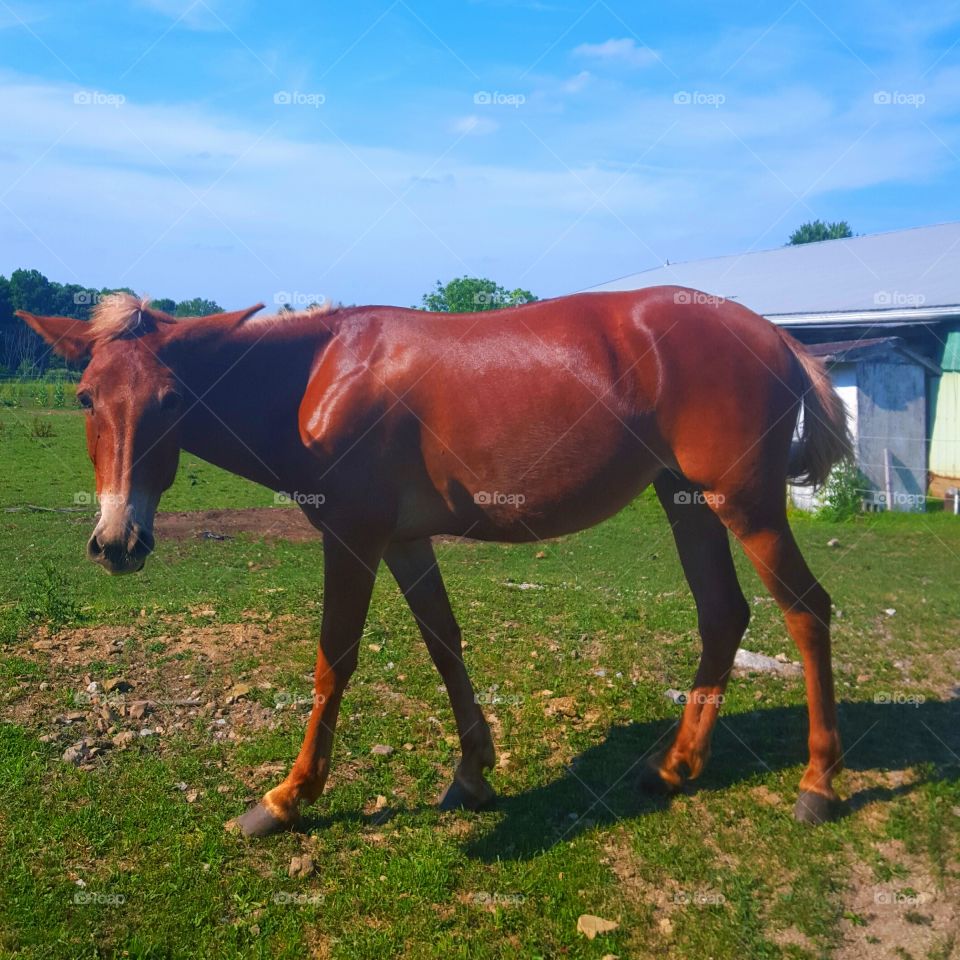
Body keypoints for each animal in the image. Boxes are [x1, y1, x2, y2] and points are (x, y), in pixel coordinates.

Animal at [18, 284, 848, 832]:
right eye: (87, 397)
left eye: (170, 402)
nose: (118, 541)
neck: (319, 378)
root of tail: (774, 335)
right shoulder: (405, 542)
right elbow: (444, 644)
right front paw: (472, 774)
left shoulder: (352, 538)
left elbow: (334, 662)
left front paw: (287, 796)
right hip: (687, 501)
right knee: (723, 615)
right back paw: (674, 766)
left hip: (745, 506)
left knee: (806, 610)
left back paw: (818, 781)